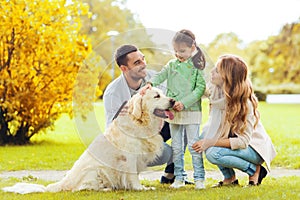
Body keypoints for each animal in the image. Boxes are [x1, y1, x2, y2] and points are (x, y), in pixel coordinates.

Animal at [2, 88, 175, 194]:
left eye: (163, 93)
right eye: (156, 96)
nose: (173, 101)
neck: (140, 121)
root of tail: (64, 182)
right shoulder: (129, 157)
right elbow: (133, 175)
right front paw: (140, 188)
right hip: (94, 171)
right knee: (81, 189)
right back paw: (107, 189)